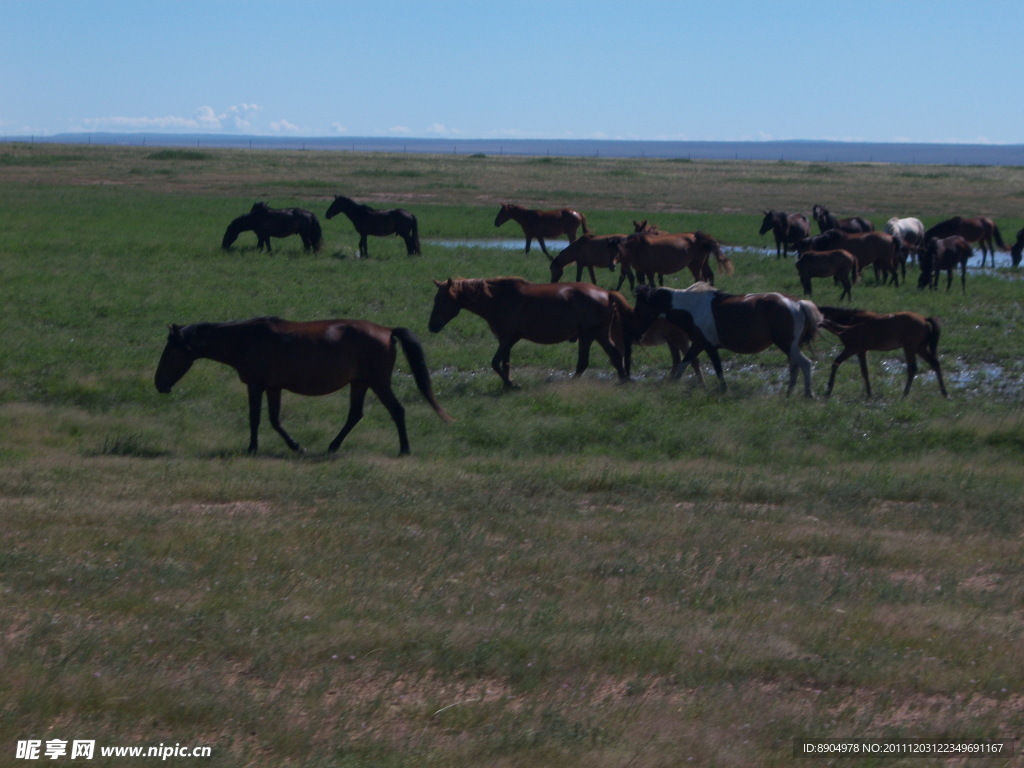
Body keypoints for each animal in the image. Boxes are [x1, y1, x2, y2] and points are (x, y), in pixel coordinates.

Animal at [152, 315, 452, 454]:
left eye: (170, 353)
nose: (159, 384)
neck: (245, 339)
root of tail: (388, 331)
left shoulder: (256, 385)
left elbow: (255, 419)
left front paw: (252, 448)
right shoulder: (273, 387)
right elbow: (274, 420)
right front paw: (295, 446)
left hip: (378, 382)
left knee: (396, 411)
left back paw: (404, 449)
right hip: (360, 383)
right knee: (355, 414)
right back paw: (333, 446)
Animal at [425, 276, 630, 391]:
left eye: (444, 299)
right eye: (435, 298)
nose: (432, 326)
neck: (498, 299)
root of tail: (607, 293)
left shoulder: (509, 338)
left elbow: (495, 363)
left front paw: (512, 383)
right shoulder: (504, 340)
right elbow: (505, 363)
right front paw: (507, 384)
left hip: (588, 335)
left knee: (585, 363)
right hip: (598, 334)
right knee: (614, 355)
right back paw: (622, 381)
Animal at [630, 282, 823, 397]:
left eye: (640, 308)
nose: (636, 334)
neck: (692, 307)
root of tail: (798, 303)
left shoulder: (707, 345)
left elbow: (716, 369)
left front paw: (724, 390)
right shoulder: (700, 344)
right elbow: (686, 364)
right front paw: (674, 385)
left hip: (787, 345)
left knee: (805, 364)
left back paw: (808, 394)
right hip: (790, 347)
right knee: (795, 367)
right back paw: (789, 394)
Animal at [815, 309, 950, 403]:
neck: (847, 328)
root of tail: (924, 319)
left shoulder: (852, 349)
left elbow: (836, 363)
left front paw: (828, 390)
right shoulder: (861, 351)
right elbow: (865, 371)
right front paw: (869, 393)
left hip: (910, 348)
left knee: (913, 368)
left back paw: (904, 394)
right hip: (920, 348)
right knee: (934, 363)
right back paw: (944, 393)